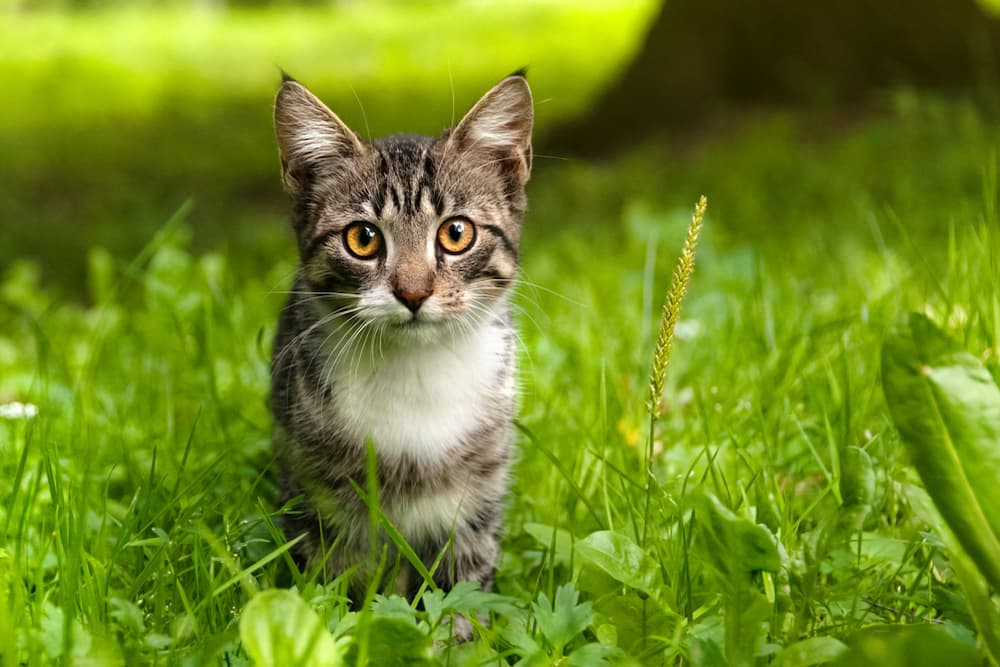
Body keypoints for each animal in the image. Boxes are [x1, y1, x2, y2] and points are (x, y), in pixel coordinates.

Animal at [266, 70, 532, 628]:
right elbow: (335, 576)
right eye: (363, 239)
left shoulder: (478, 486)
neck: (416, 372)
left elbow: (463, 585)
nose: (413, 292)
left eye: (456, 232)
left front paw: (459, 637)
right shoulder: (320, 488)